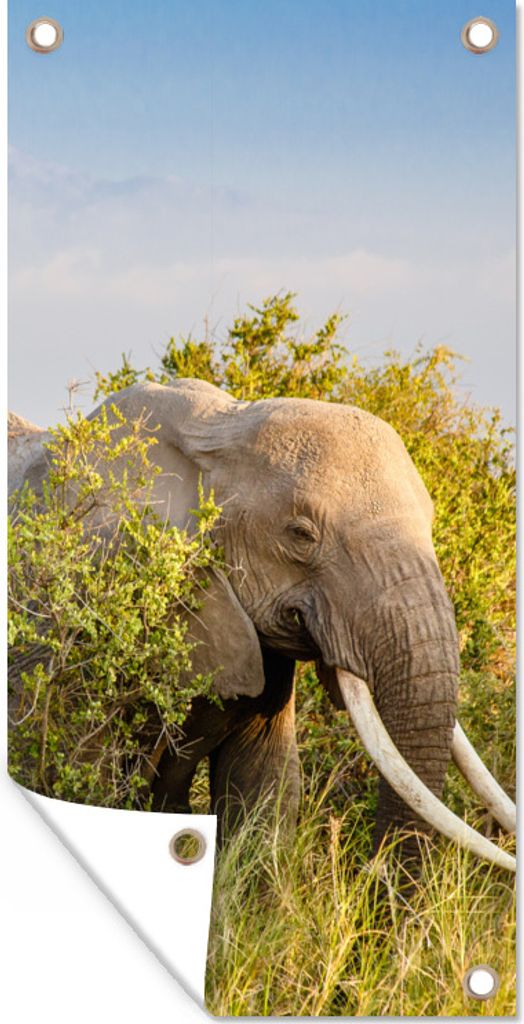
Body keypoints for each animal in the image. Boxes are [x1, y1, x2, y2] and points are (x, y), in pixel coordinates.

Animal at [7, 381, 516, 871]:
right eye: (301, 534)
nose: (374, 877)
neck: (216, 430)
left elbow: (265, 789)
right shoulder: (77, 600)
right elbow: (72, 769)